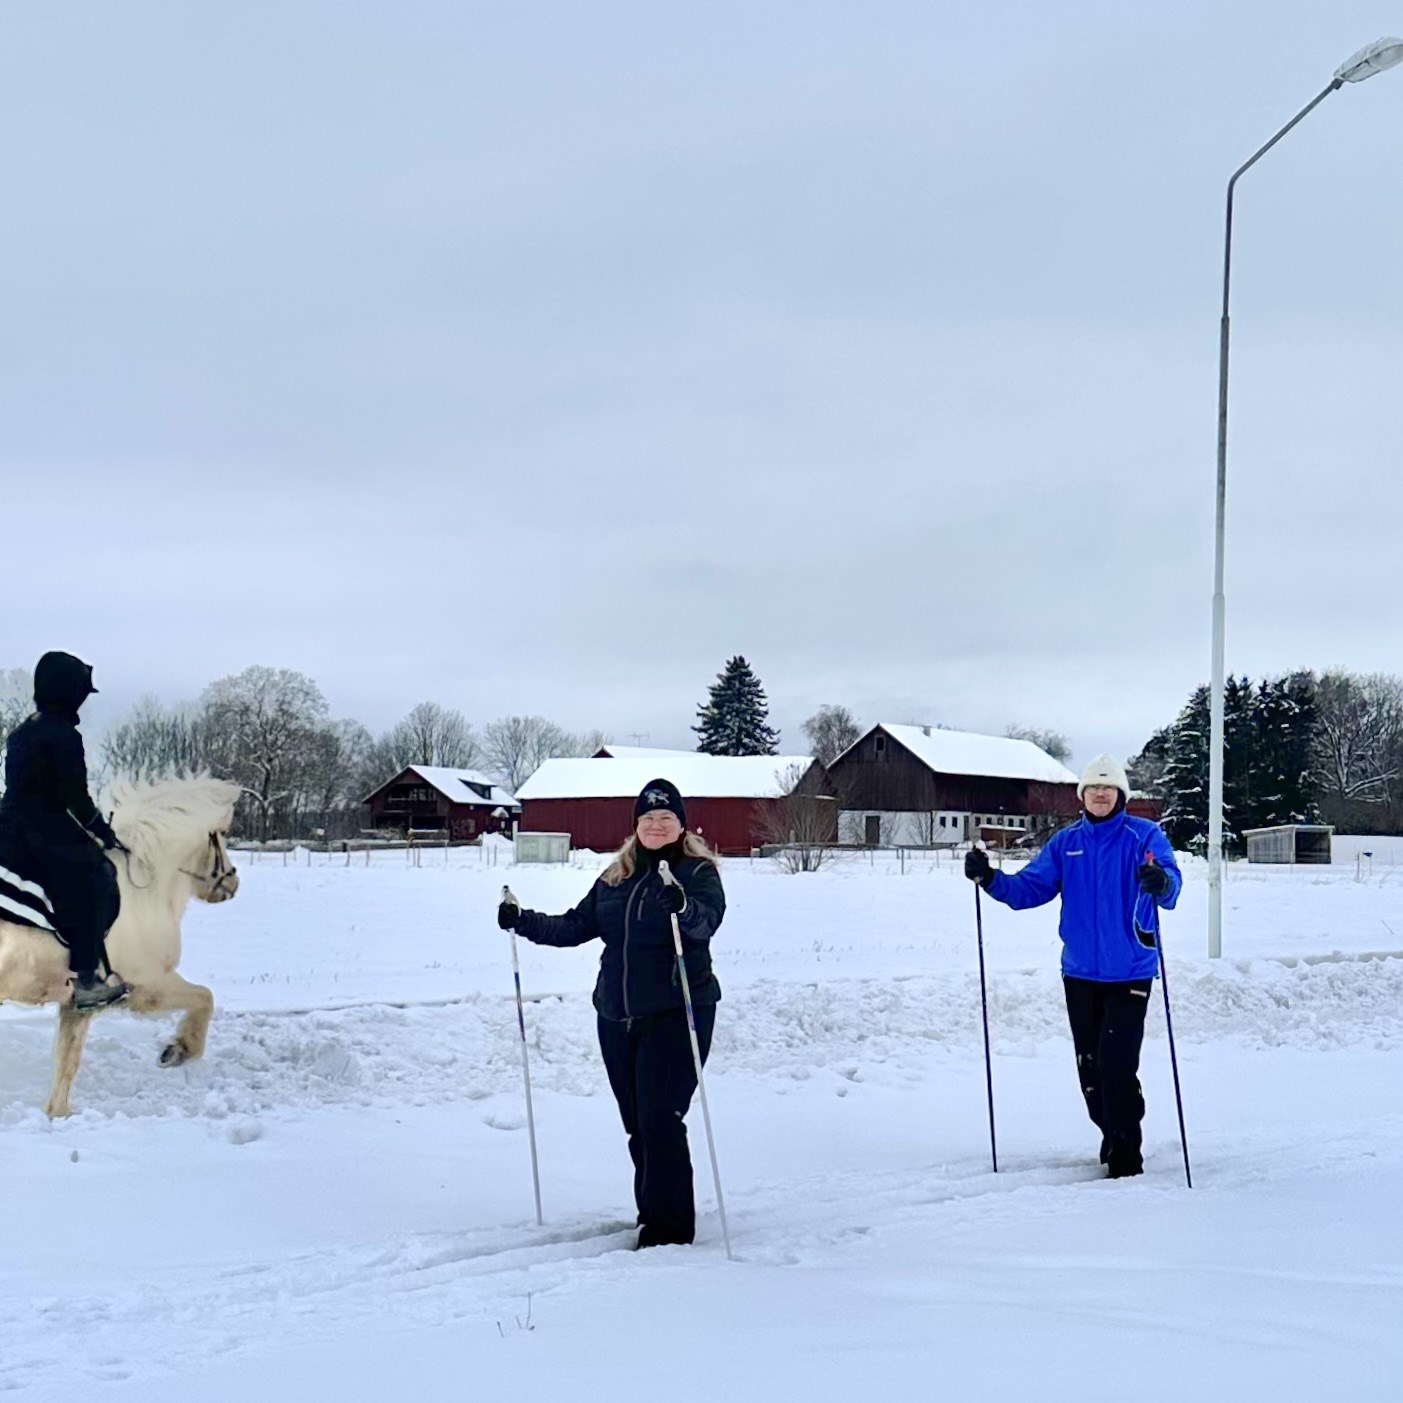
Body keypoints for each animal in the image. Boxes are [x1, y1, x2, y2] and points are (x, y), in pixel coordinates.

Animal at [0, 780, 241, 1116]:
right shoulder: (146, 987)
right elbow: (204, 996)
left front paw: (57, 1115)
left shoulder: (78, 1006)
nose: (233, 883)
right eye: (222, 834)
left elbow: (66, 1065)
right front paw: (179, 1050)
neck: (146, 889)